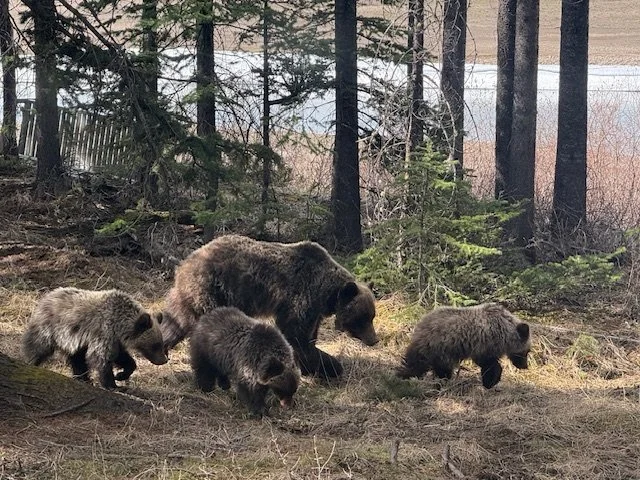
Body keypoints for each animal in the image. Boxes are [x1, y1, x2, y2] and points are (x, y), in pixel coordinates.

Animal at [22, 287, 168, 389]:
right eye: (155, 345)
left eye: (161, 343)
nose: (164, 360)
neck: (119, 324)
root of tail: (46, 297)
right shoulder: (103, 332)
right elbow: (101, 358)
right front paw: (113, 385)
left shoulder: (115, 340)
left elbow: (121, 357)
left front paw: (121, 375)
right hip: (50, 329)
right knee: (37, 347)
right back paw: (30, 364)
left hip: (73, 341)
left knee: (78, 358)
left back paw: (83, 378)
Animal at [161, 234, 377, 379]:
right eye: (362, 317)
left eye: (371, 316)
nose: (374, 340)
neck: (325, 293)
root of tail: (187, 260)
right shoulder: (300, 296)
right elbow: (295, 334)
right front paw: (330, 366)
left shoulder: (314, 310)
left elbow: (307, 336)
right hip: (214, 290)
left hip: (192, 295)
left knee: (177, 320)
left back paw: (161, 350)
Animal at [396, 302, 531, 389]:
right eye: (527, 351)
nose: (524, 366)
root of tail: (420, 325)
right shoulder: (485, 344)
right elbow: (489, 364)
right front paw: (491, 381)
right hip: (440, 347)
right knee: (436, 367)